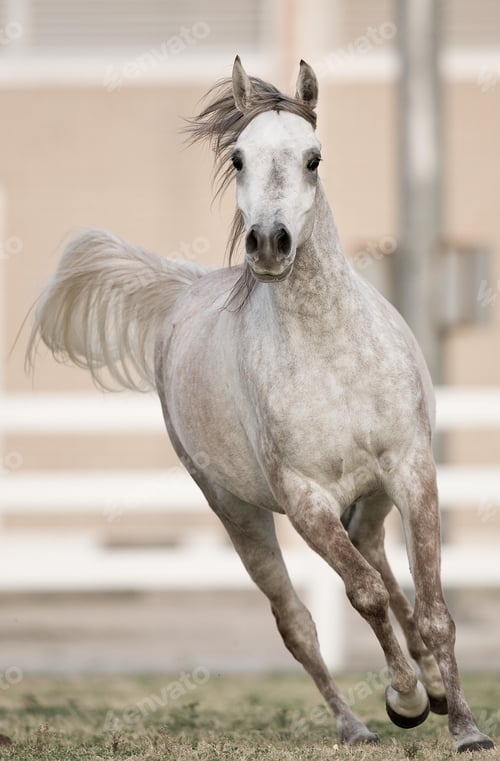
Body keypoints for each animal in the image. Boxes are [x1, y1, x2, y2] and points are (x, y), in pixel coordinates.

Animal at [27, 57, 494, 752]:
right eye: (239, 157)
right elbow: (362, 595)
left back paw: (432, 689)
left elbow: (432, 608)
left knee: (381, 564)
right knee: (300, 620)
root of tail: (185, 291)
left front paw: (463, 726)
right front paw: (406, 701)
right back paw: (359, 724)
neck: (332, 355)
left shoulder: (412, 472)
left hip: (372, 498)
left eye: (314, 158)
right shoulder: (303, 501)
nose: (269, 243)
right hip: (237, 510)